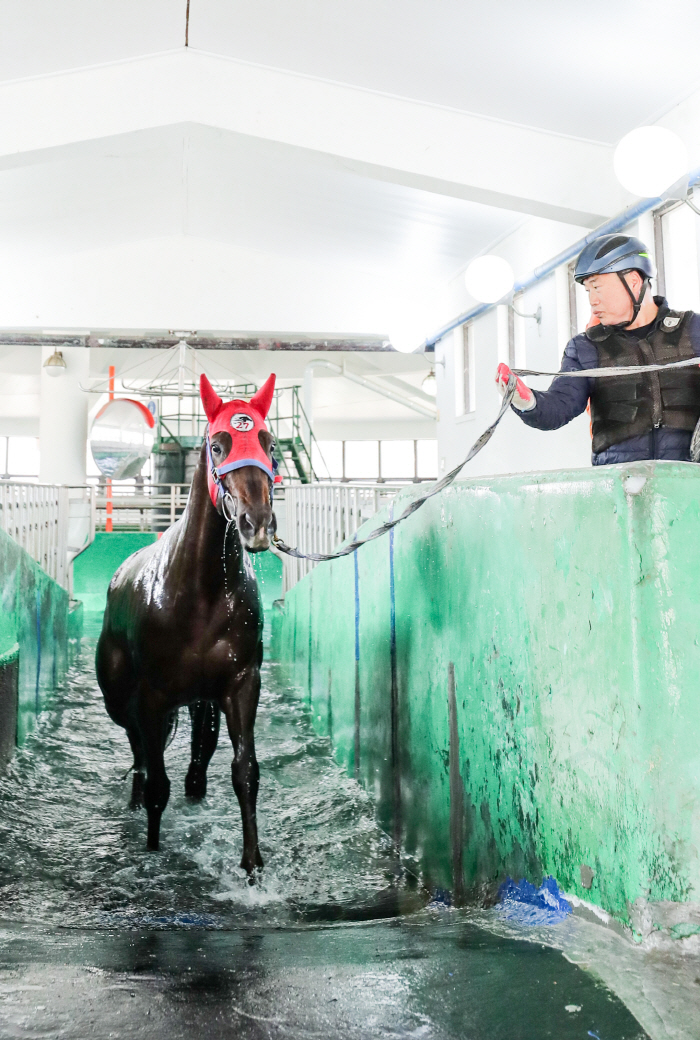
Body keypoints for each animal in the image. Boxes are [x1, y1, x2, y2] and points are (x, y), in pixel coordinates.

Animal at [94, 374, 278, 877]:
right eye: (217, 445)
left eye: (269, 442)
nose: (256, 522)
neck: (199, 594)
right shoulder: (152, 698)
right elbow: (158, 783)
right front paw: (153, 853)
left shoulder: (240, 685)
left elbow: (245, 772)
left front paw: (253, 867)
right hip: (123, 702)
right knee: (141, 756)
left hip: (201, 704)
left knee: (196, 765)